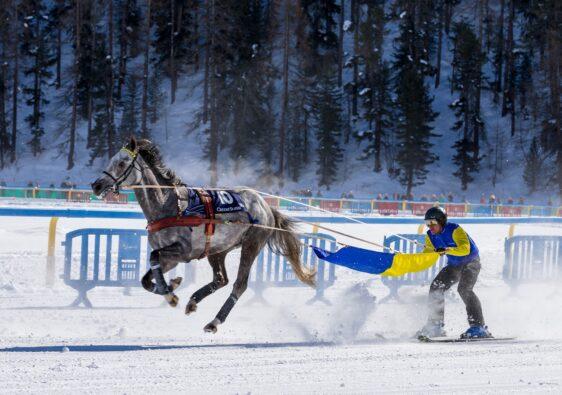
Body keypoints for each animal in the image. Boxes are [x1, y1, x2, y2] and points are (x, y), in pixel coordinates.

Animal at [89, 138, 312, 332]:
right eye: (111, 160)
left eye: (122, 163)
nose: (96, 185)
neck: (170, 205)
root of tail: (266, 206)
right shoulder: (169, 256)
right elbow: (146, 278)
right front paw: (171, 287)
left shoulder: (183, 252)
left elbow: (153, 258)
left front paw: (170, 294)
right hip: (218, 249)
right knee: (221, 279)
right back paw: (193, 300)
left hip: (251, 244)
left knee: (239, 285)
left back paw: (214, 321)